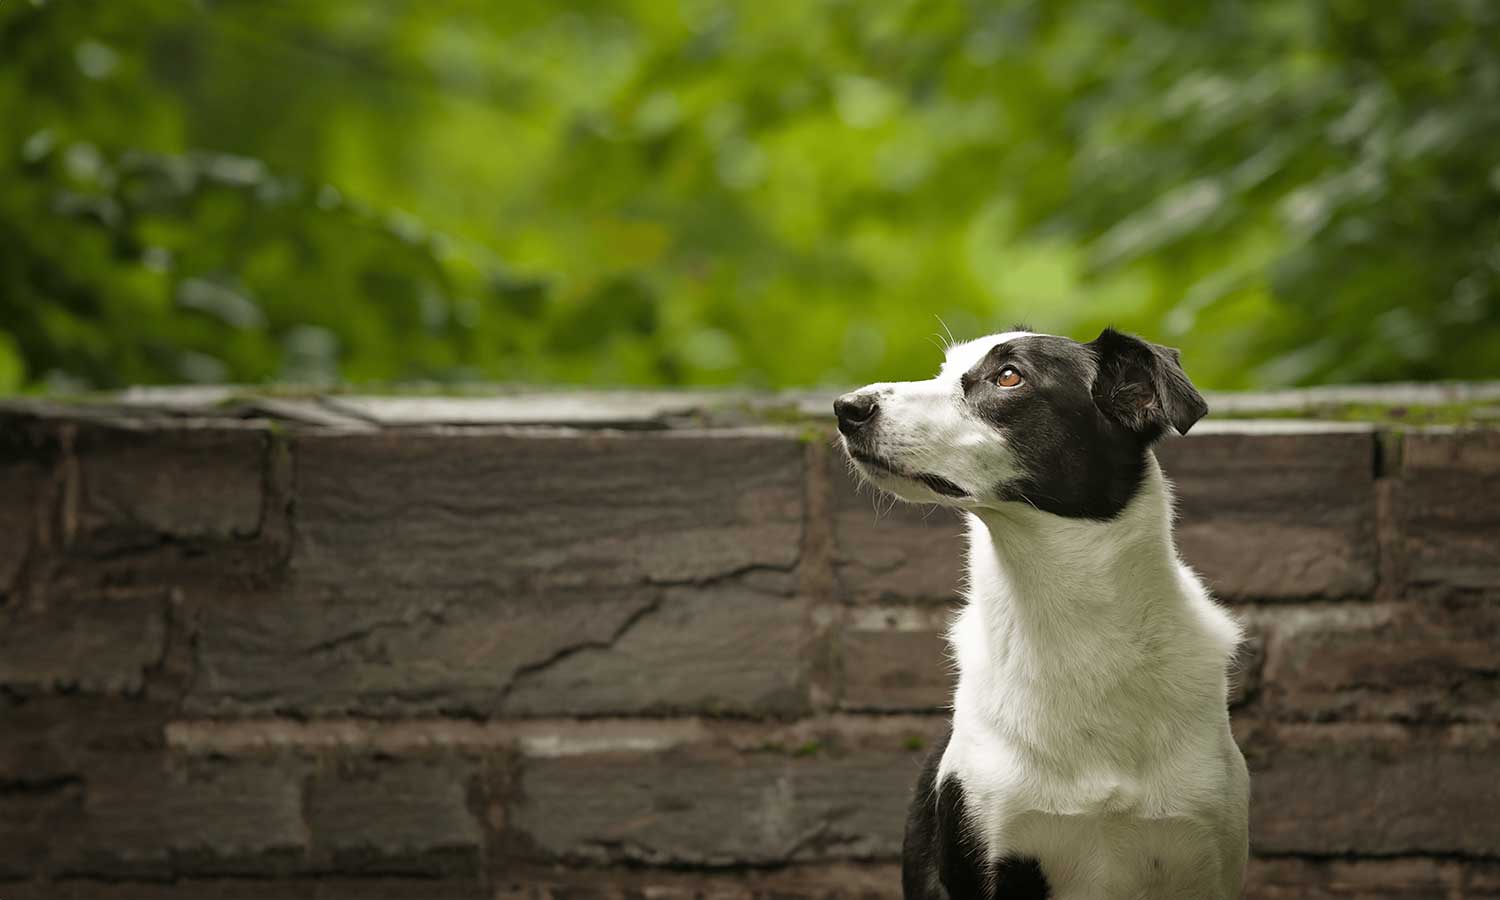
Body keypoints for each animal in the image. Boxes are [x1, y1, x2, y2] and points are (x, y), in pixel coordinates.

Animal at [840, 328, 1248, 900]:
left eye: (1009, 376)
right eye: (943, 369)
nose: (846, 408)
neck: (1073, 636)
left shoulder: (1204, 854)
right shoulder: (990, 850)